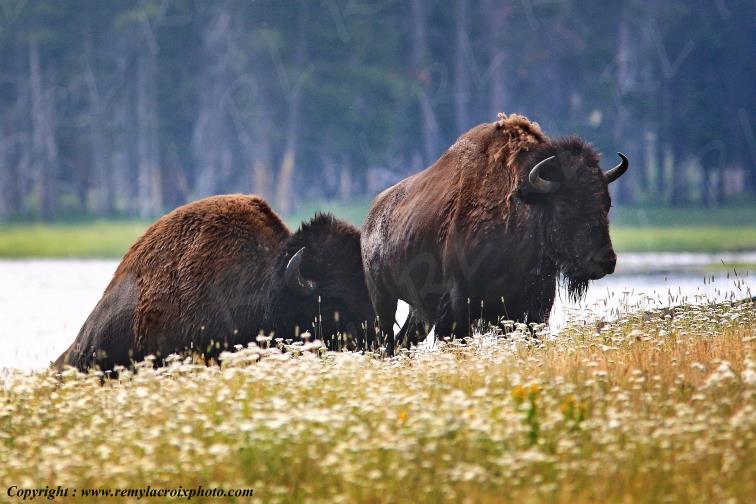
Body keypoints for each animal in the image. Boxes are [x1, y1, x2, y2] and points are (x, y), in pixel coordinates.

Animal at [362, 113, 629, 354]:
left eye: (607, 204)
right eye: (565, 207)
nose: (606, 260)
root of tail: (370, 218)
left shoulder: (534, 307)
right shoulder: (459, 306)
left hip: (419, 310)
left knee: (404, 340)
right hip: (382, 298)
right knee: (387, 340)